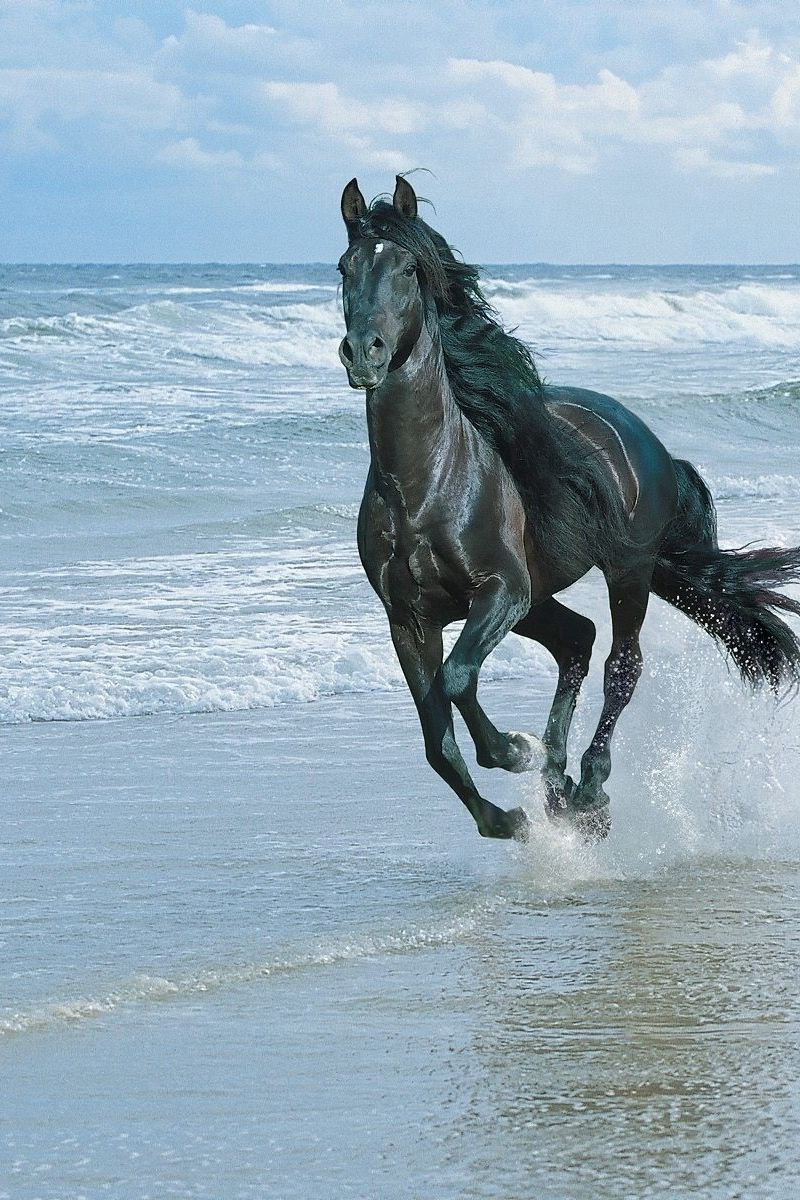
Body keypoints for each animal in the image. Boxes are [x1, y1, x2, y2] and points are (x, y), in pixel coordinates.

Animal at [336, 175, 800, 841]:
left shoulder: (500, 592)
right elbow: (436, 740)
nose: (362, 352)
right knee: (577, 641)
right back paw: (558, 787)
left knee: (620, 665)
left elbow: (456, 679)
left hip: (625, 572)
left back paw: (588, 787)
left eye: (406, 268)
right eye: (344, 267)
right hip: (541, 599)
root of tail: (646, 440)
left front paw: (514, 750)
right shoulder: (410, 620)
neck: (426, 489)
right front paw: (508, 817)